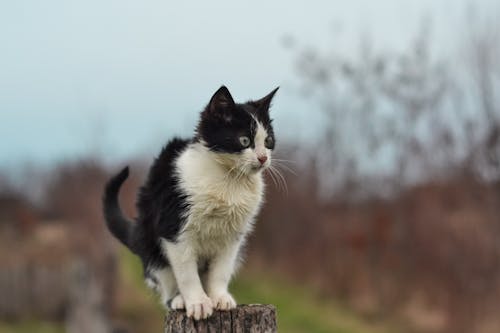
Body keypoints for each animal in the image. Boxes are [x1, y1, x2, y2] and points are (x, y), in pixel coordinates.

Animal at [101, 85, 278, 320]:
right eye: (244, 141)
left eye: (268, 141)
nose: (263, 158)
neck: (229, 180)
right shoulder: (174, 227)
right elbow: (186, 272)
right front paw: (198, 302)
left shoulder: (233, 236)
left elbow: (221, 269)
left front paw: (219, 296)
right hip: (150, 240)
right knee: (165, 278)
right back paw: (178, 299)